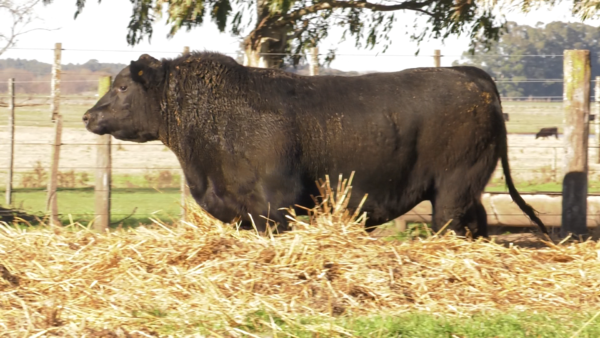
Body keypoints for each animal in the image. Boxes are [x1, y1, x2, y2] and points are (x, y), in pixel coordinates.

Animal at [82, 52, 548, 238]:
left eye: (122, 86)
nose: (88, 115)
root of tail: (468, 74)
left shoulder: (276, 206)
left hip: (452, 190)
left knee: (453, 224)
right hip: (466, 190)